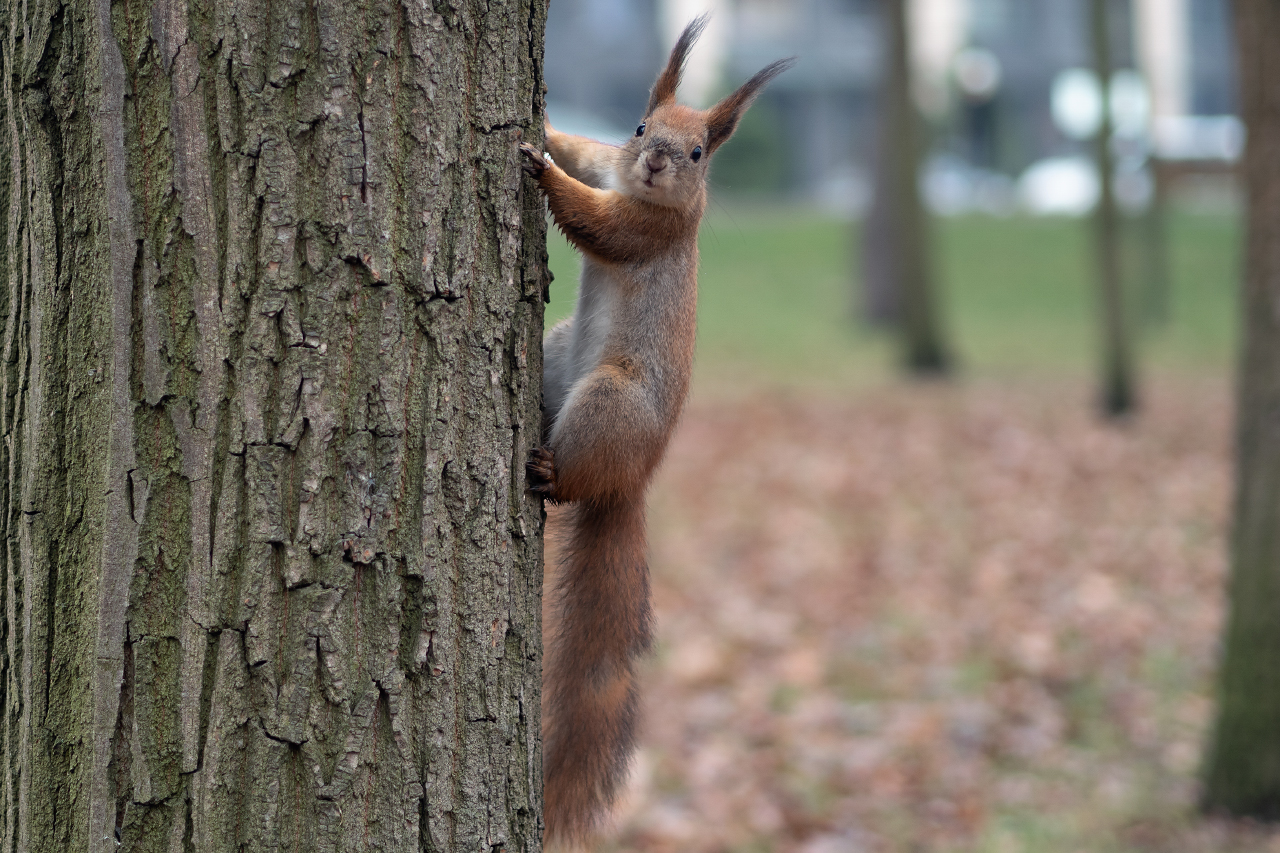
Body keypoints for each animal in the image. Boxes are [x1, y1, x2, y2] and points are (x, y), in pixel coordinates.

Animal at [519, 15, 793, 844]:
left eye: (700, 152)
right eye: (640, 126)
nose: (655, 160)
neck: (647, 191)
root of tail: (632, 479)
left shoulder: (646, 226)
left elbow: (596, 220)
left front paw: (541, 174)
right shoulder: (611, 167)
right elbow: (586, 152)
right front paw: (547, 129)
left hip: (610, 403)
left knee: (574, 483)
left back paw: (550, 471)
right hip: (556, 356)